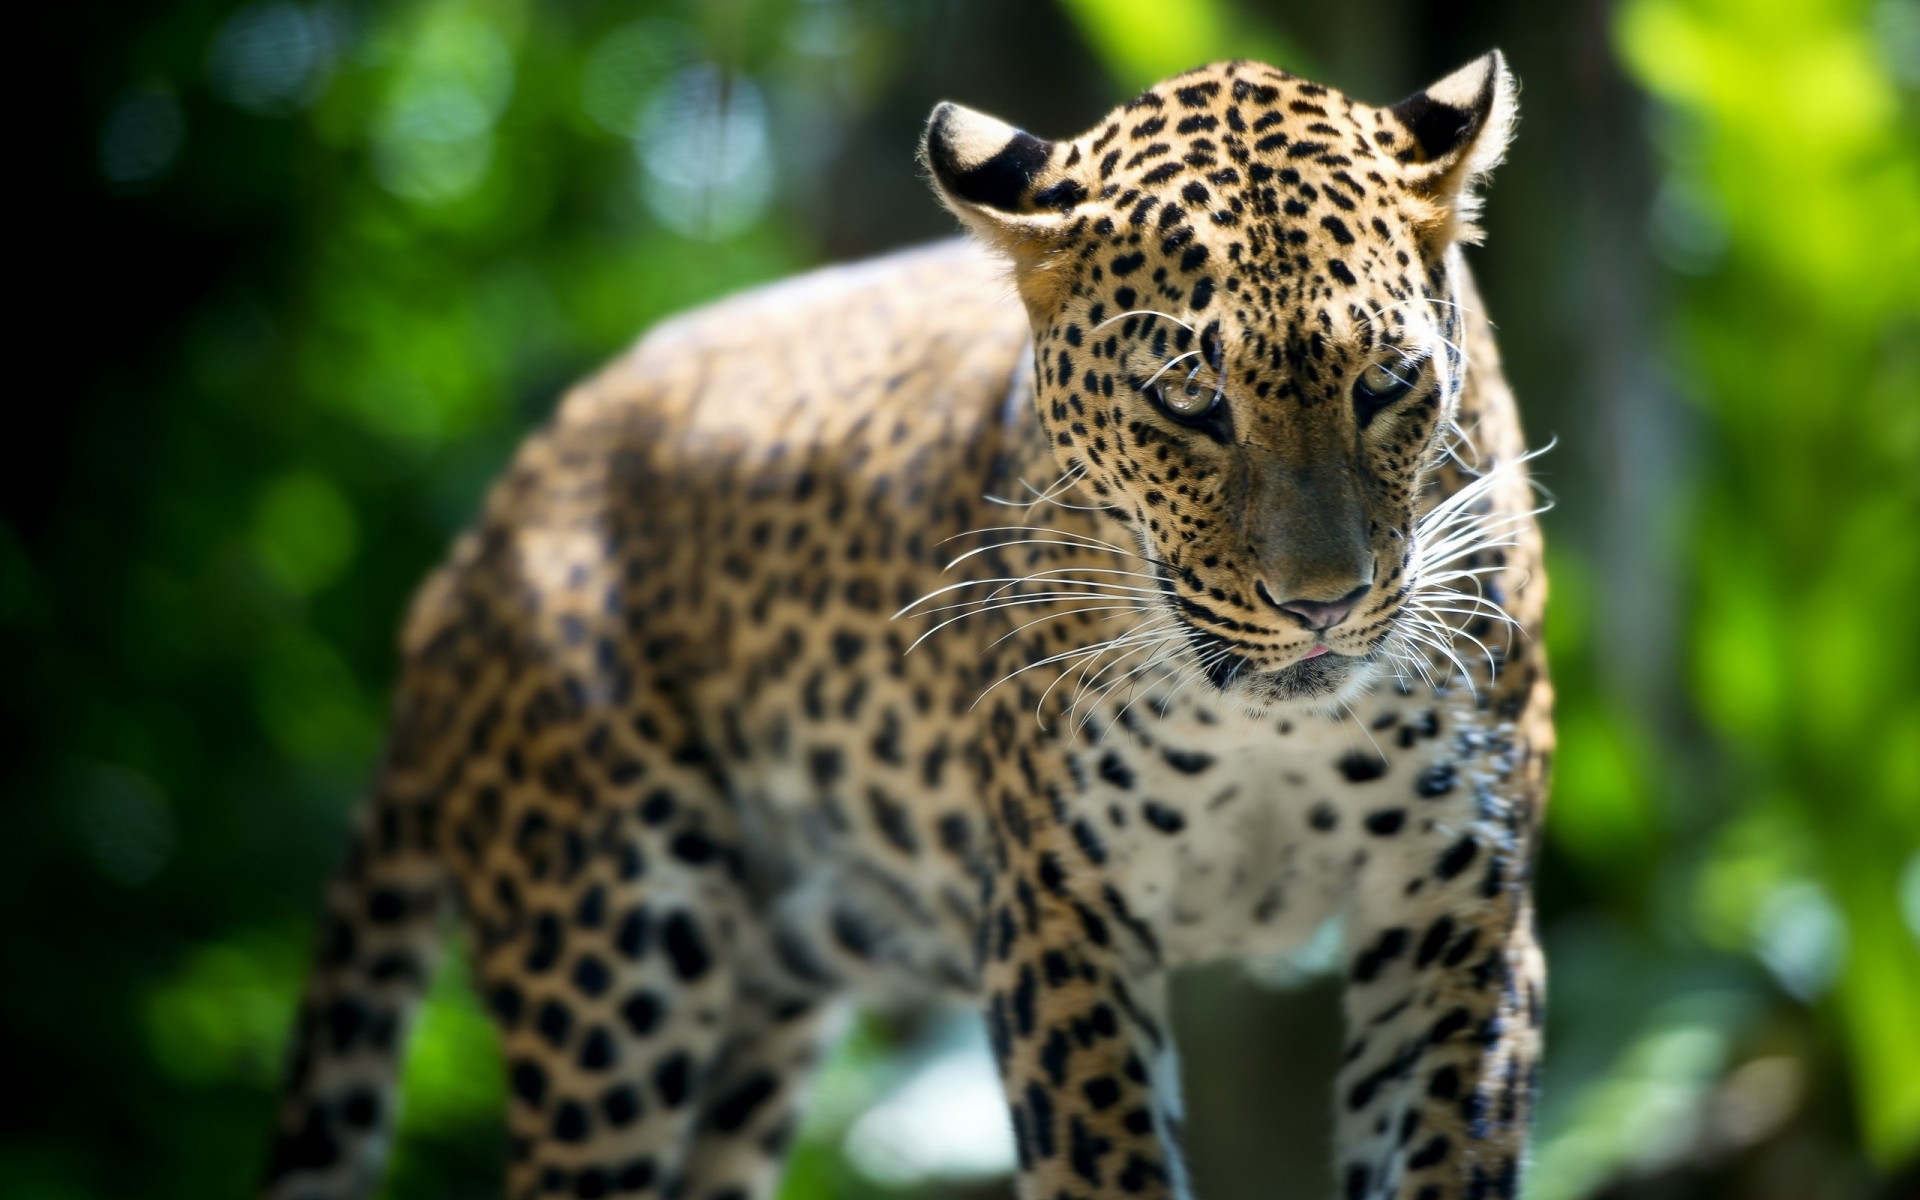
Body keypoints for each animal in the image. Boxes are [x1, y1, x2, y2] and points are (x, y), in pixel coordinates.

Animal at [263, 51, 1552, 1200]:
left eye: (1388, 384)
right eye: (1189, 401)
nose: (1322, 601)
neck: (1272, 730)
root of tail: (464, 564)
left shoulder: (1459, 911)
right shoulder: (1057, 911)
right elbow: (1105, 1165)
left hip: (756, 1022)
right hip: (610, 969)